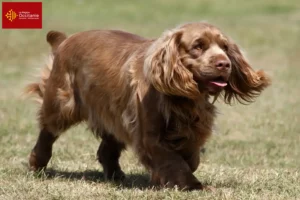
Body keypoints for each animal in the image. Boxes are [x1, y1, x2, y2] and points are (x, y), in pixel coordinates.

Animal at [25, 22, 270, 190]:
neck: (181, 96)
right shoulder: (150, 135)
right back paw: (37, 164)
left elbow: (190, 157)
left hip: (114, 113)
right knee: (47, 132)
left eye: (225, 47)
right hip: (61, 104)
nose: (224, 64)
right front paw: (192, 185)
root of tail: (65, 40)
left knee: (106, 149)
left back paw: (116, 176)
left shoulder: (193, 129)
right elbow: (173, 161)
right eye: (198, 46)